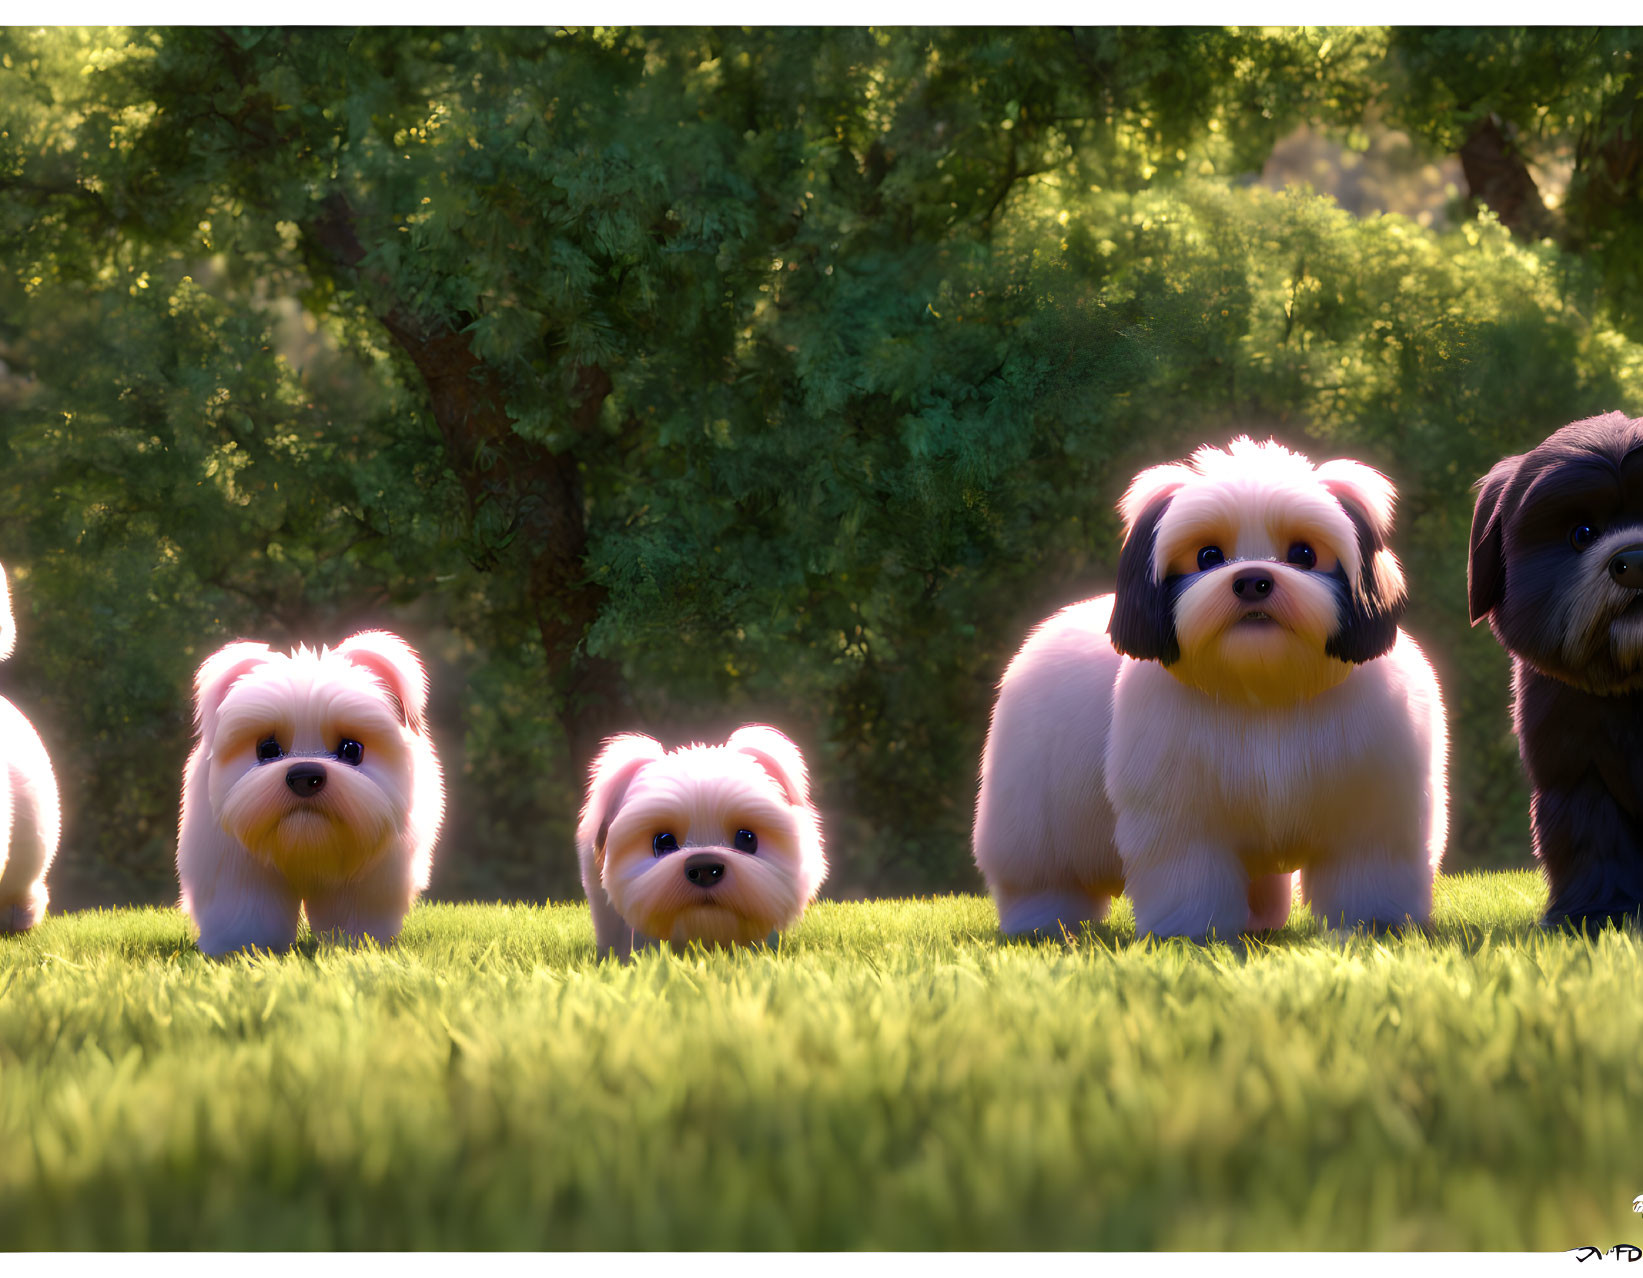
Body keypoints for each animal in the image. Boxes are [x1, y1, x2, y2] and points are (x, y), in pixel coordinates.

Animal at [176, 627, 446, 959]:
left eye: (351, 749)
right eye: (267, 749)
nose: (305, 777)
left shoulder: (363, 883)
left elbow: (354, 918)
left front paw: (356, 947)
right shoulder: (238, 871)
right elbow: (245, 913)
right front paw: (241, 950)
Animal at [972, 433, 1452, 939]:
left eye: (1303, 554)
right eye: (1208, 557)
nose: (1253, 580)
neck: (1266, 686)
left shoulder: (1372, 816)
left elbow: (1369, 873)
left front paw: (1373, 925)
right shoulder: (1181, 821)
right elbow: (1190, 875)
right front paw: (1192, 933)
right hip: (1033, 827)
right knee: (1040, 879)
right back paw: (1042, 924)